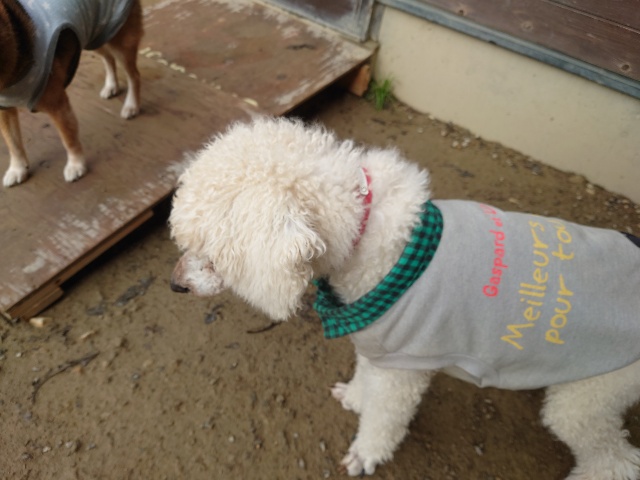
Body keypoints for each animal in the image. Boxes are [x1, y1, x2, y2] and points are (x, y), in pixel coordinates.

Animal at [0, 0, 143, 187]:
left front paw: (76, 165)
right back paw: (111, 85)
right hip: (95, 35)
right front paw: (17, 169)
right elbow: (12, 142)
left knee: (134, 75)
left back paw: (131, 105)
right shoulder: (5, 112)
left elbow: (68, 138)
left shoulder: (58, 105)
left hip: (119, 40)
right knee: (108, 58)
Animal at [169, 117, 640, 479]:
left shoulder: (404, 368)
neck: (369, 241)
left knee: (614, 458)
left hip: (592, 394)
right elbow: (366, 380)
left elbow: (385, 417)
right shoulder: (380, 345)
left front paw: (366, 453)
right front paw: (356, 397)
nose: (176, 286)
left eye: (209, 251)